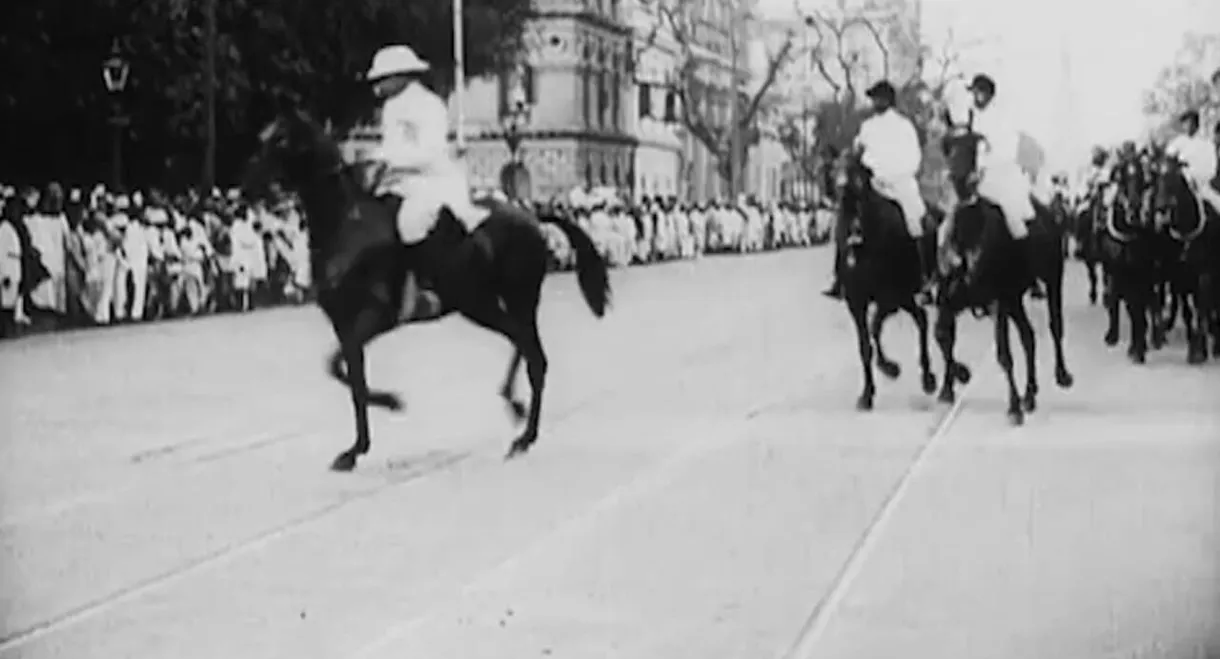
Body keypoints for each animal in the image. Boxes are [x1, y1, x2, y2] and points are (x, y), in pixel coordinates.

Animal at [245, 106, 610, 468]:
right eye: (264, 136)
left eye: (281, 139)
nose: (250, 185)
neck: (348, 224)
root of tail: (532, 219)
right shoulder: (343, 322)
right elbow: (347, 377)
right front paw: (358, 446)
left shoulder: (376, 317)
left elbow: (345, 373)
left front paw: (389, 404)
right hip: (491, 304)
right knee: (524, 345)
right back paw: (515, 410)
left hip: (503, 301)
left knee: (534, 357)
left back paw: (523, 433)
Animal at [834, 152, 936, 414]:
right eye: (834, 168)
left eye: (856, 172)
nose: (840, 187)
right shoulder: (856, 302)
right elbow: (865, 344)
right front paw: (867, 394)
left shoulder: (889, 298)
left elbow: (874, 328)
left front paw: (890, 367)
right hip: (905, 298)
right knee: (921, 318)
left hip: (905, 295)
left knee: (922, 320)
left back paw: (929, 379)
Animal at [927, 124, 1073, 424]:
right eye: (949, 145)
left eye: (973, 144)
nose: (964, 181)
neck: (968, 236)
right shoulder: (949, 298)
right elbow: (941, 336)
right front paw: (953, 381)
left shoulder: (997, 302)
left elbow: (1003, 353)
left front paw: (1013, 406)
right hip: (1015, 298)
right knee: (1028, 336)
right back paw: (1030, 393)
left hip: (1051, 277)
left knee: (1055, 324)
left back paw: (1060, 374)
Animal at [1151, 153, 1220, 363]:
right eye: (1157, 176)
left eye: (1175, 176)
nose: (1161, 207)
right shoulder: (1178, 276)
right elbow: (1189, 310)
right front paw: (1197, 346)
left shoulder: (1205, 275)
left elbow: (1201, 310)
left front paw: (1198, 350)